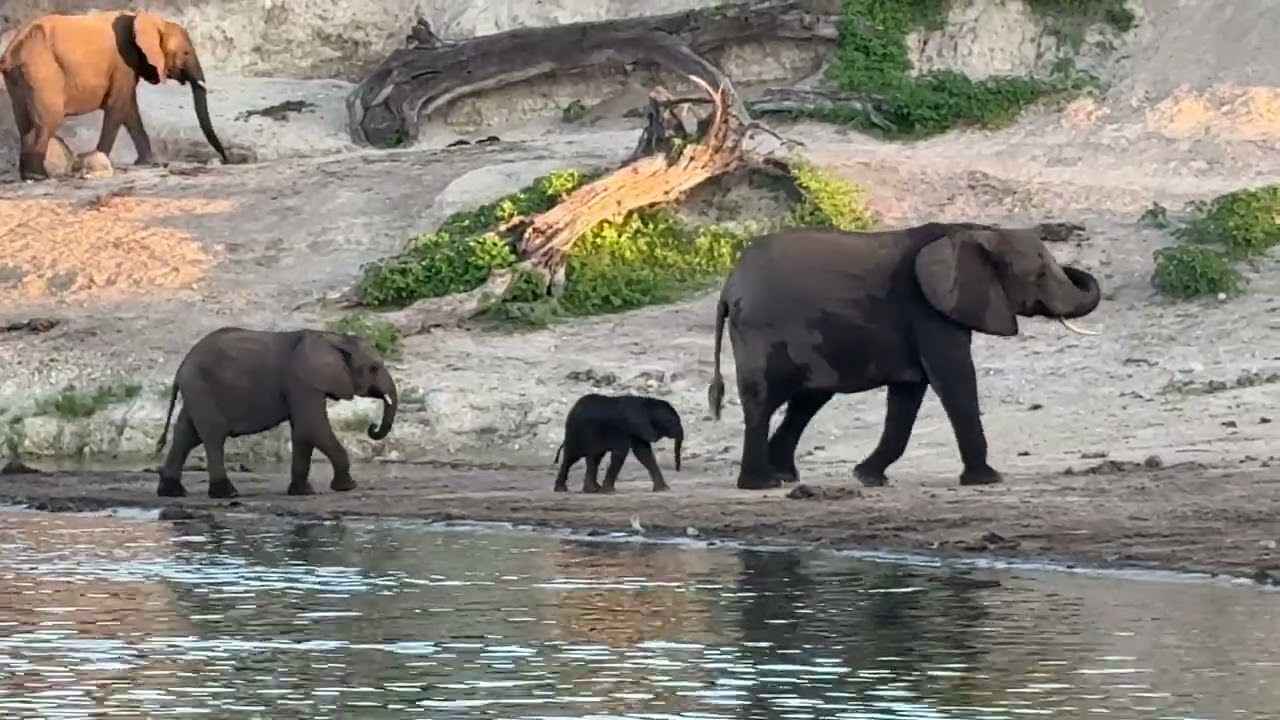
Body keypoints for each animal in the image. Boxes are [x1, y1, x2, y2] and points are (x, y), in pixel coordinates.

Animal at [0, 10, 228, 181]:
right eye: (186, 53)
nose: (226, 159)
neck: (147, 20)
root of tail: (12, 50)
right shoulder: (123, 62)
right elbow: (117, 107)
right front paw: (98, 163)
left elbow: (130, 111)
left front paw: (147, 163)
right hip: (42, 71)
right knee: (48, 121)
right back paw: (38, 176)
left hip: (19, 78)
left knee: (25, 124)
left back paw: (29, 176)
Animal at [154, 327, 398, 499]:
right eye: (374, 368)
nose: (372, 427)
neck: (332, 338)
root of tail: (181, 367)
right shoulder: (303, 381)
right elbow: (313, 425)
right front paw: (347, 487)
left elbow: (303, 431)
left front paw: (302, 492)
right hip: (201, 388)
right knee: (213, 435)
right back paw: (227, 494)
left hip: (196, 392)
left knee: (186, 435)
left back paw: (172, 492)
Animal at [553, 393, 684, 493]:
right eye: (671, 421)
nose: (677, 469)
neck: (647, 403)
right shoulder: (625, 427)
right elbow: (621, 452)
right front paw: (609, 491)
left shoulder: (638, 429)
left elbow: (643, 453)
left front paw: (663, 489)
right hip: (576, 432)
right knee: (571, 458)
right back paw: (564, 489)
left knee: (593, 457)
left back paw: (593, 489)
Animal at [706, 221, 1102, 491]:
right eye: (1039, 274)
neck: (974, 231)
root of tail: (728, 285)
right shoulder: (928, 310)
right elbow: (955, 378)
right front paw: (989, 480)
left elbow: (909, 394)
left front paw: (867, 478)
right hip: (760, 329)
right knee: (763, 401)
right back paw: (762, 484)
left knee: (808, 399)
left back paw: (784, 476)